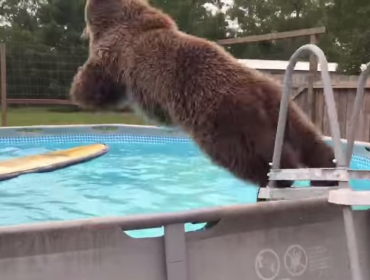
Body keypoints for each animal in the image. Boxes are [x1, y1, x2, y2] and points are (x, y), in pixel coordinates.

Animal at [69, 0, 338, 189]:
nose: (81, 33)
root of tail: (256, 92)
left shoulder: (115, 53)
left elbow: (96, 81)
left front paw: (78, 89)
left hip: (222, 120)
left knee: (252, 156)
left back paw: (279, 177)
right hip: (282, 104)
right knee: (307, 139)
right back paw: (325, 171)